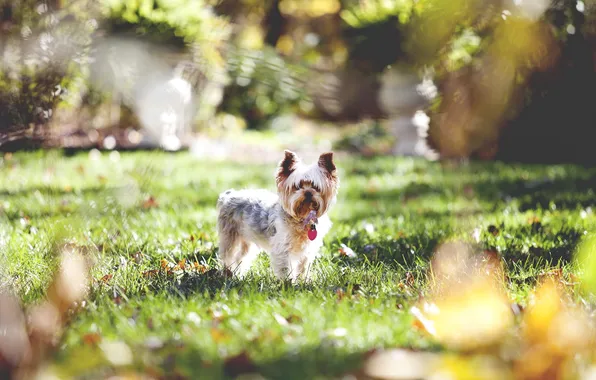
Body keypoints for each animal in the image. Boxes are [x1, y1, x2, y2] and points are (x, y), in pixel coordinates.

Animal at [218, 150, 340, 280]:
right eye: (297, 186)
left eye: (316, 187)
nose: (308, 193)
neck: (303, 217)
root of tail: (228, 195)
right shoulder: (283, 249)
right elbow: (286, 269)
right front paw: (289, 283)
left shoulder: (307, 251)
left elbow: (303, 267)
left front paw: (304, 281)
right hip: (230, 235)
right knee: (228, 255)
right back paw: (228, 273)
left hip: (248, 239)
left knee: (241, 257)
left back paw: (238, 274)